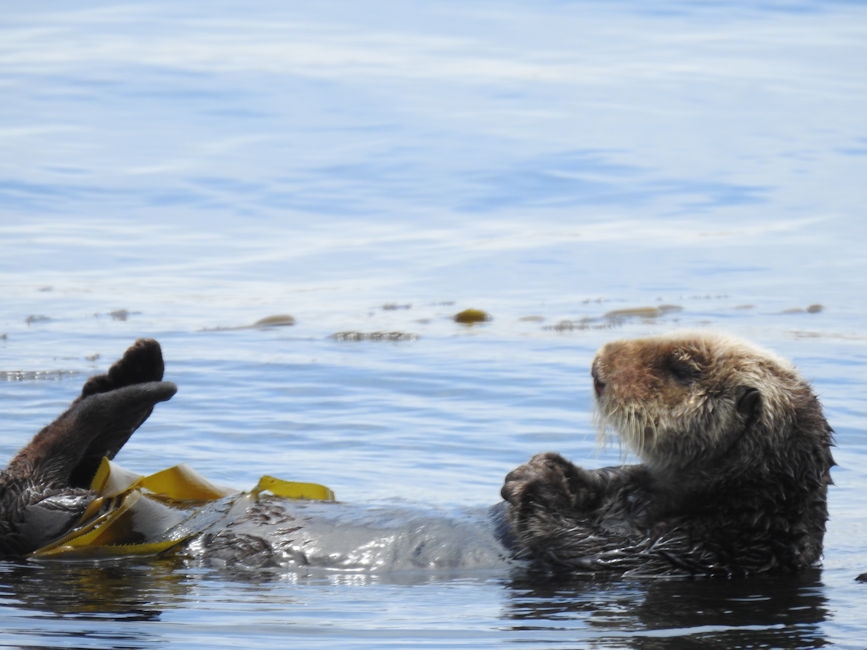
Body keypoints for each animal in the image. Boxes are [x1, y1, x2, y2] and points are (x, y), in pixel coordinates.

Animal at [500, 331, 834, 577]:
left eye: (682, 370)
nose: (598, 363)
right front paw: (551, 468)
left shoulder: (711, 550)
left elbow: (595, 554)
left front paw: (538, 482)